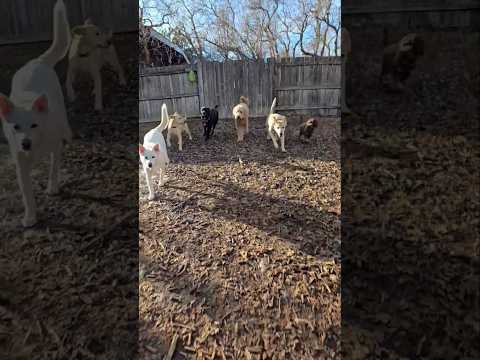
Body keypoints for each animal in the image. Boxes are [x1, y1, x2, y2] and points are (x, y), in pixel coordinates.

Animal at [0, 0, 72, 226]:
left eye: (34, 125)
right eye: (16, 127)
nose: (25, 143)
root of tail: (37, 61)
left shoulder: (55, 147)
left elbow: (54, 168)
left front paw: (53, 188)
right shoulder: (20, 164)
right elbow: (27, 193)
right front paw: (30, 216)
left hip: (60, 104)